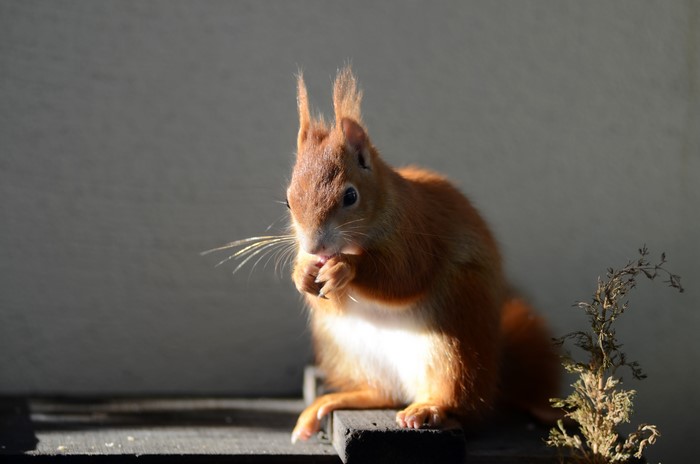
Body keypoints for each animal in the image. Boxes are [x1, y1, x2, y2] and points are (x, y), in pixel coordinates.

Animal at [287, 66, 560, 443]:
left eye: (350, 196)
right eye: (288, 201)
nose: (315, 248)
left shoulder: (416, 234)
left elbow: (403, 276)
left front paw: (346, 268)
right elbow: (327, 297)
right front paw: (302, 272)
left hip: (455, 334)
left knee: (460, 400)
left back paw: (429, 408)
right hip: (347, 349)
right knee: (382, 393)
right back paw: (333, 402)